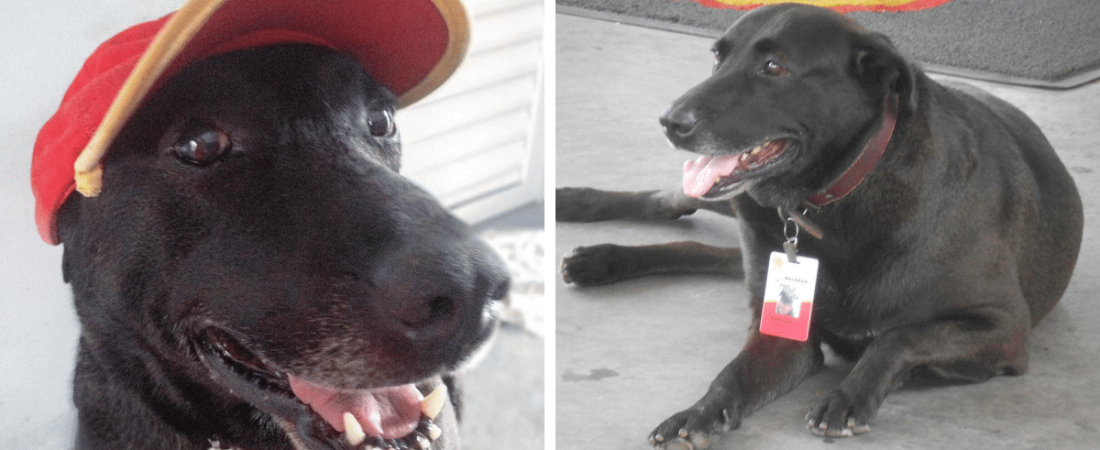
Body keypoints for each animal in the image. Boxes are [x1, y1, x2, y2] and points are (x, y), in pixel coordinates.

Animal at [558, 2, 1082, 444]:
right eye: (717, 59)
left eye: (774, 67)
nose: (669, 121)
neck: (831, 200)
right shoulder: (781, 334)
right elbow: (731, 374)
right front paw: (698, 412)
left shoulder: (1004, 327)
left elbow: (898, 336)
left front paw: (849, 396)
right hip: (735, 203)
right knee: (673, 203)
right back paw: (579, 217)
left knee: (705, 249)